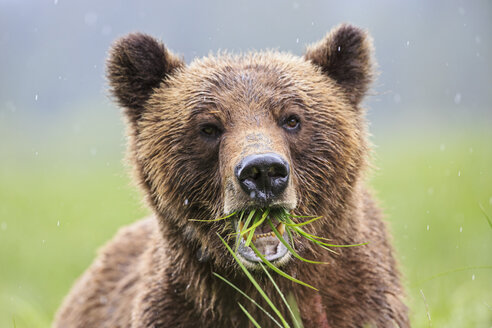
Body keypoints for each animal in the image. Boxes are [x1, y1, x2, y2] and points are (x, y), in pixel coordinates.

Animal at [52, 24, 408, 326]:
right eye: (209, 127)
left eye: (292, 119)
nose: (262, 171)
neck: (266, 286)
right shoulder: (178, 309)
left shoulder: (359, 303)